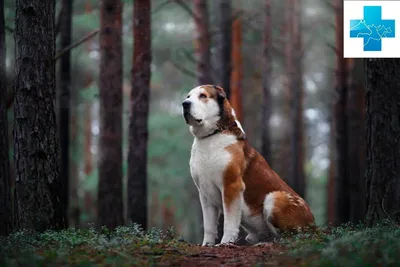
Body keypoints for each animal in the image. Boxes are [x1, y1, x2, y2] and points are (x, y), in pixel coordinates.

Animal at [182, 85, 316, 246]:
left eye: (203, 96)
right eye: (188, 96)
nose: (185, 103)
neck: (212, 136)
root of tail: (314, 226)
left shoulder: (231, 186)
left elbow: (229, 222)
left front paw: (225, 243)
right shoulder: (205, 193)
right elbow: (209, 226)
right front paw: (207, 245)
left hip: (274, 198)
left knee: (290, 238)